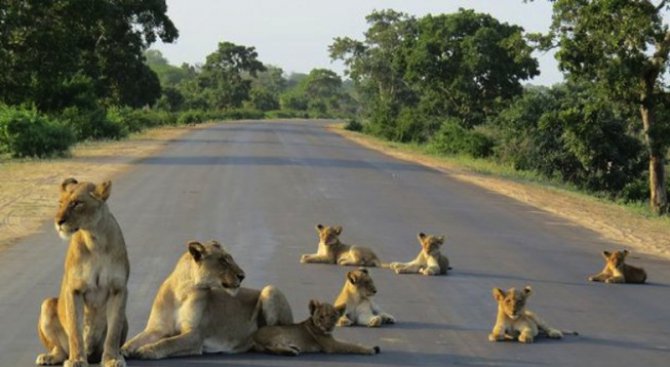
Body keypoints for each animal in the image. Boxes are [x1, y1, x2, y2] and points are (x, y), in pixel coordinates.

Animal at [35, 180, 131, 367]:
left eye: (77, 203)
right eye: (60, 203)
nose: (58, 221)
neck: (95, 240)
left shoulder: (118, 289)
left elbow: (113, 332)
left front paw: (112, 358)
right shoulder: (74, 289)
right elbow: (75, 330)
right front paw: (77, 359)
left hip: (125, 318)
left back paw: (120, 353)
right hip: (47, 304)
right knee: (60, 350)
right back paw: (48, 357)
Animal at [121, 240, 294, 360]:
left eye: (229, 259)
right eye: (223, 260)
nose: (242, 276)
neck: (181, 292)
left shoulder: (195, 335)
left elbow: (168, 342)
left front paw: (146, 350)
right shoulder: (157, 329)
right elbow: (135, 340)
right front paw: (122, 350)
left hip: (270, 289)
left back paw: (287, 349)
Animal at [252, 300, 380, 356]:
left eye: (333, 317)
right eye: (321, 317)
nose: (328, 327)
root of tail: (253, 336)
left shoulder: (332, 340)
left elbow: (350, 342)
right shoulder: (331, 346)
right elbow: (351, 346)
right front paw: (371, 350)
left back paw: (293, 348)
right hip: (279, 333)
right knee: (271, 347)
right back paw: (291, 352)